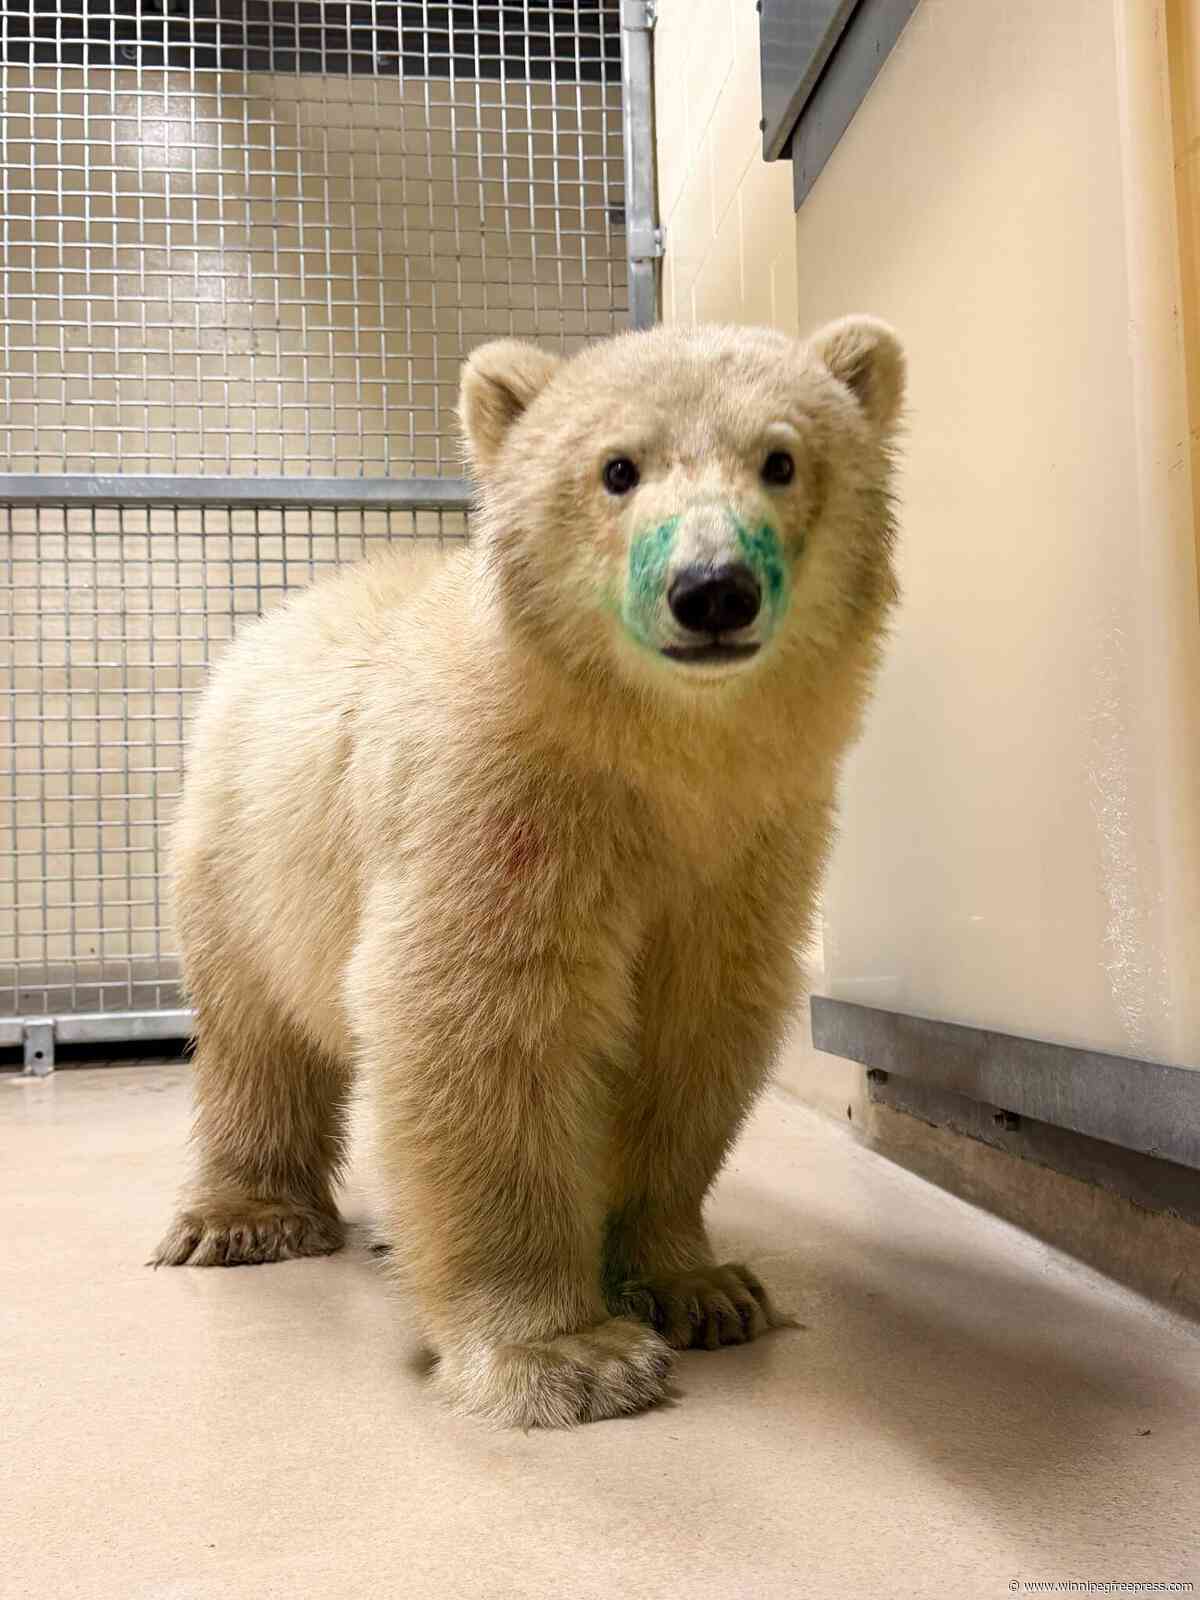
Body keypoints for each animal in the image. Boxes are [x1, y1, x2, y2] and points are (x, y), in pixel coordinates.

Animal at [152, 316, 906, 1429]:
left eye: (781, 458)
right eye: (616, 468)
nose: (712, 588)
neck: (653, 761)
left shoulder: (747, 847)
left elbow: (693, 1030)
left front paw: (700, 1287)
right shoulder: (503, 806)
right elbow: (481, 1020)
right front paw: (568, 1355)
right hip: (244, 847)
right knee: (257, 1034)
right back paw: (245, 1218)